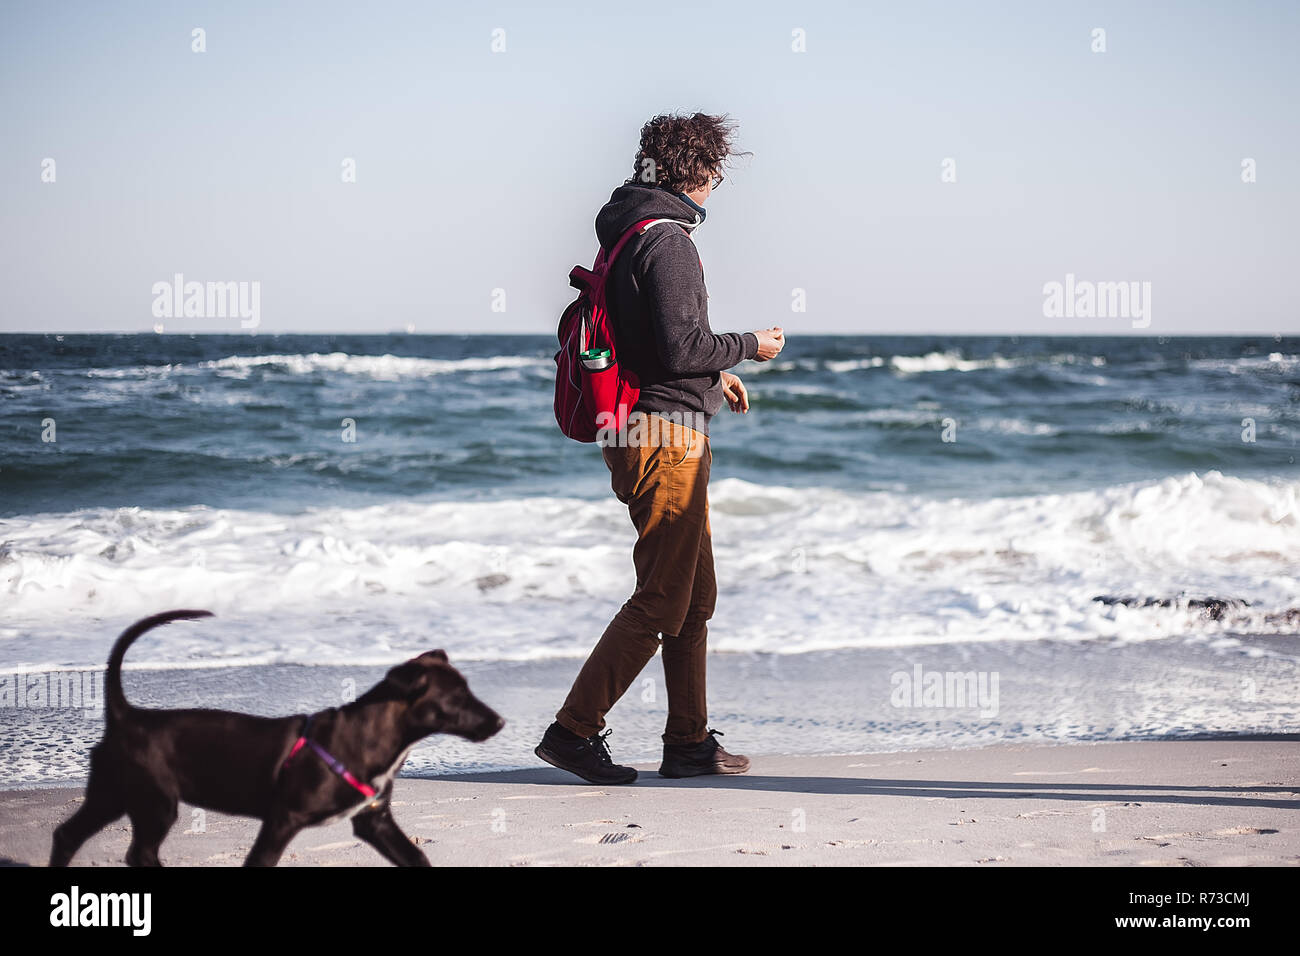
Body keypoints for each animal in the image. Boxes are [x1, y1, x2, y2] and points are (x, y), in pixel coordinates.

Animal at [48, 613, 501, 868]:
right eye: (457, 699)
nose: (499, 722)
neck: (370, 734)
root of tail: (127, 715)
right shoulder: (283, 818)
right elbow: (260, 861)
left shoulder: (375, 821)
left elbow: (416, 856)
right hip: (155, 802)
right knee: (138, 853)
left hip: (114, 794)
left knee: (68, 835)